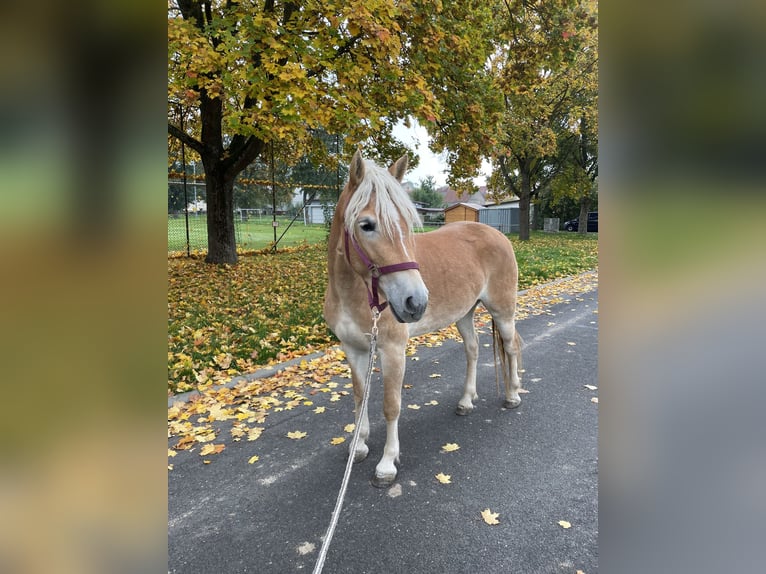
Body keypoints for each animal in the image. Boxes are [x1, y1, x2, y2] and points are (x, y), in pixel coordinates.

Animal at [320, 147, 524, 486]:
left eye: (405, 222)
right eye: (366, 225)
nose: (415, 302)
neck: (354, 293)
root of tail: (497, 235)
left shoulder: (392, 350)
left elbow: (391, 406)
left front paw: (386, 464)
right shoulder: (353, 349)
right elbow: (360, 398)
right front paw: (358, 446)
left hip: (502, 310)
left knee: (510, 348)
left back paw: (512, 395)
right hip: (464, 314)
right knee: (472, 350)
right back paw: (466, 401)